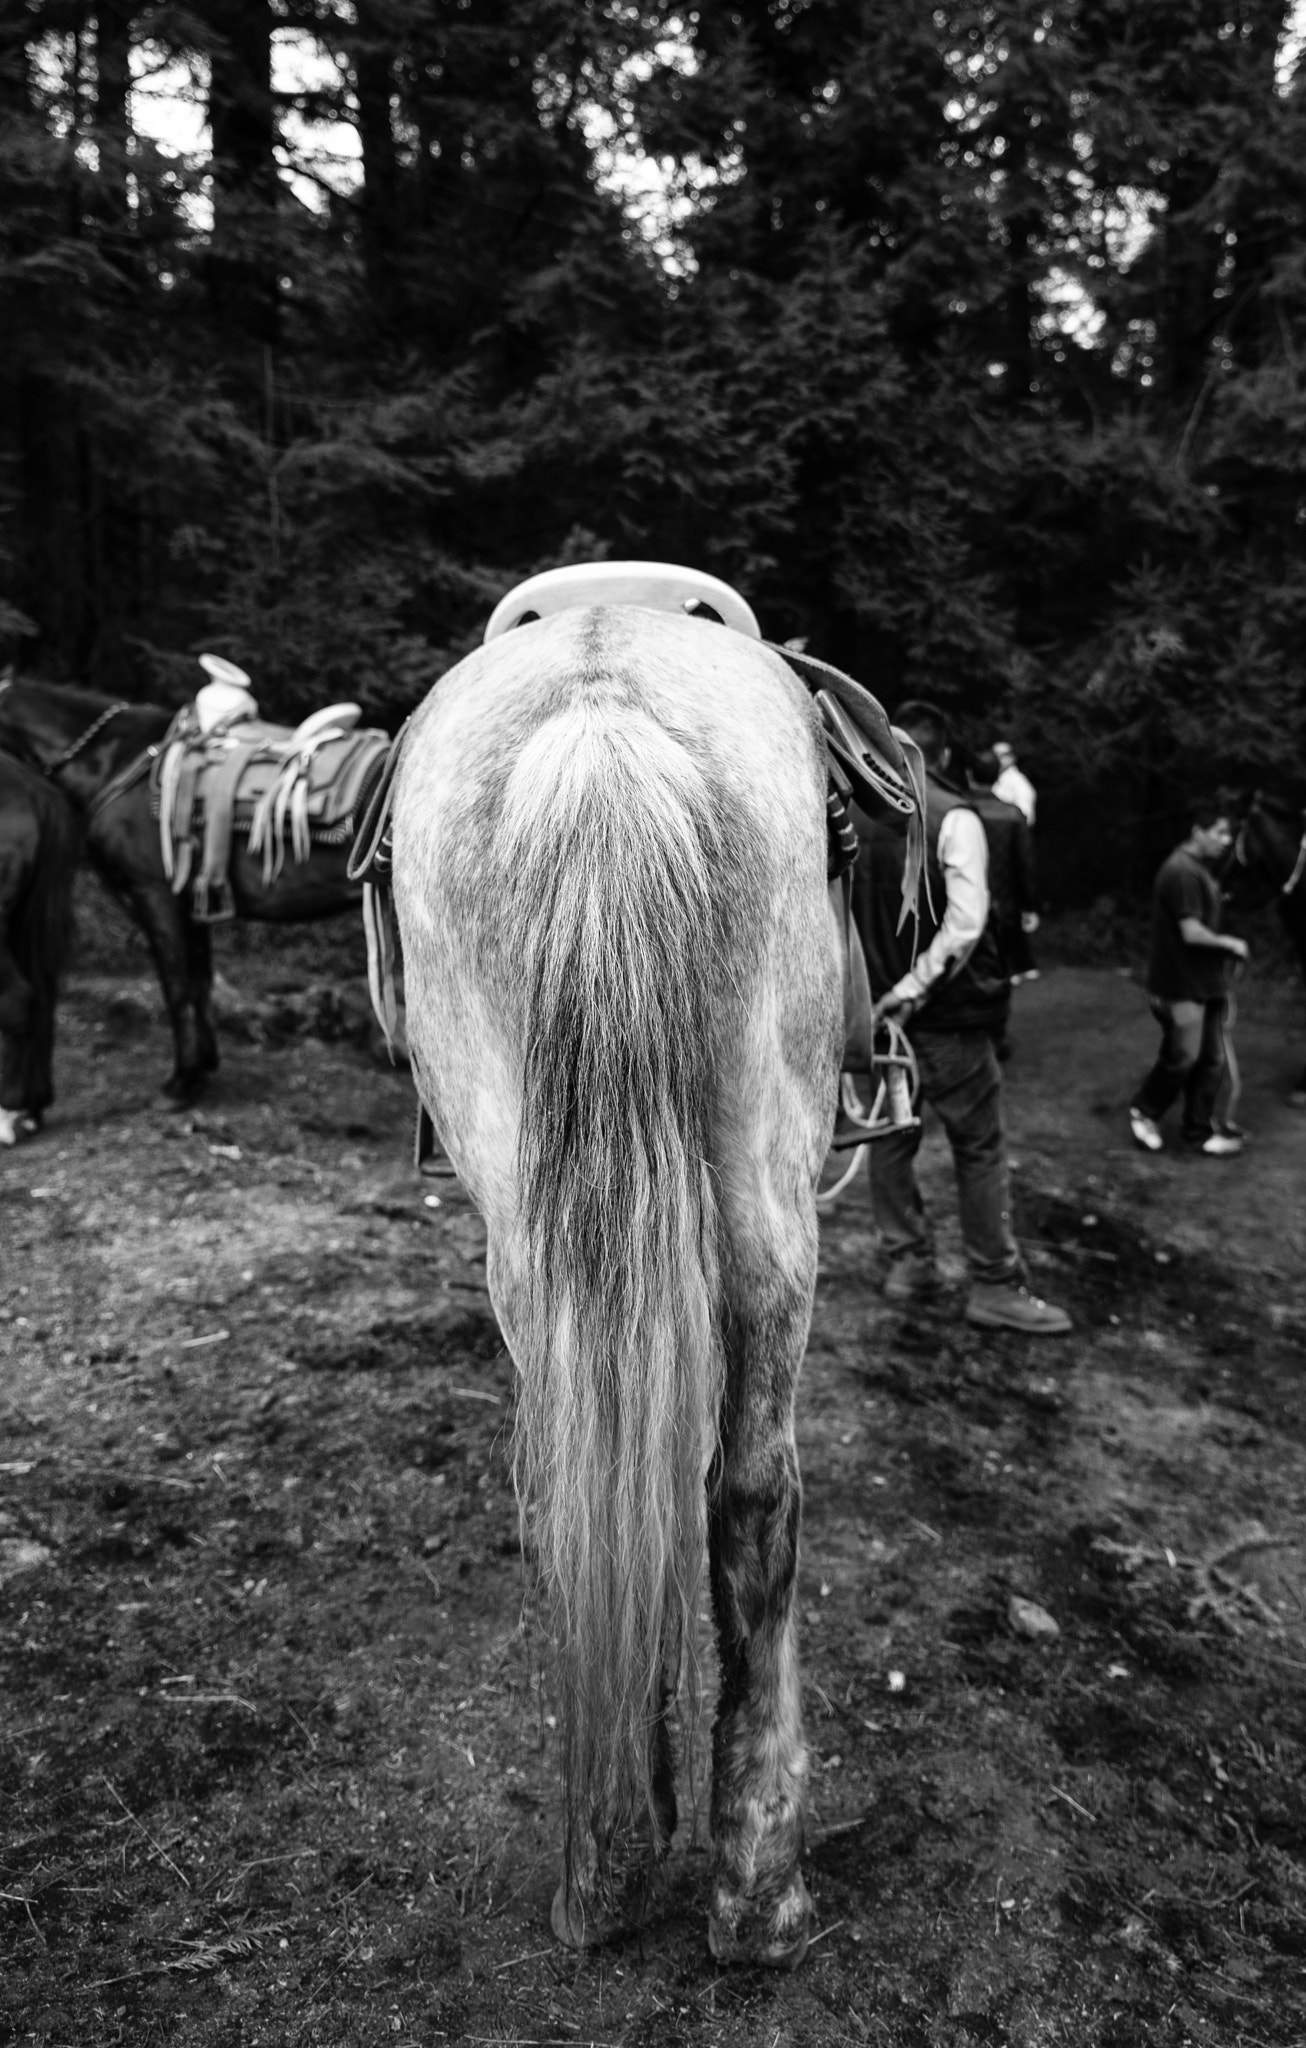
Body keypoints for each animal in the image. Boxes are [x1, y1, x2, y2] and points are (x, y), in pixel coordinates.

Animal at [0, 675, 381, 1101]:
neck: (113, 761)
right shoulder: (193, 905)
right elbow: (200, 983)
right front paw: (204, 1066)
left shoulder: (156, 895)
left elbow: (176, 985)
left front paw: (182, 1080)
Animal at [387, 592, 850, 1967]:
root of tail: (600, 703)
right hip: (767, 1169)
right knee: (750, 1490)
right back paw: (756, 1881)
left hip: (532, 1211)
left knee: (597, 1478)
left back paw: (610, 1858)